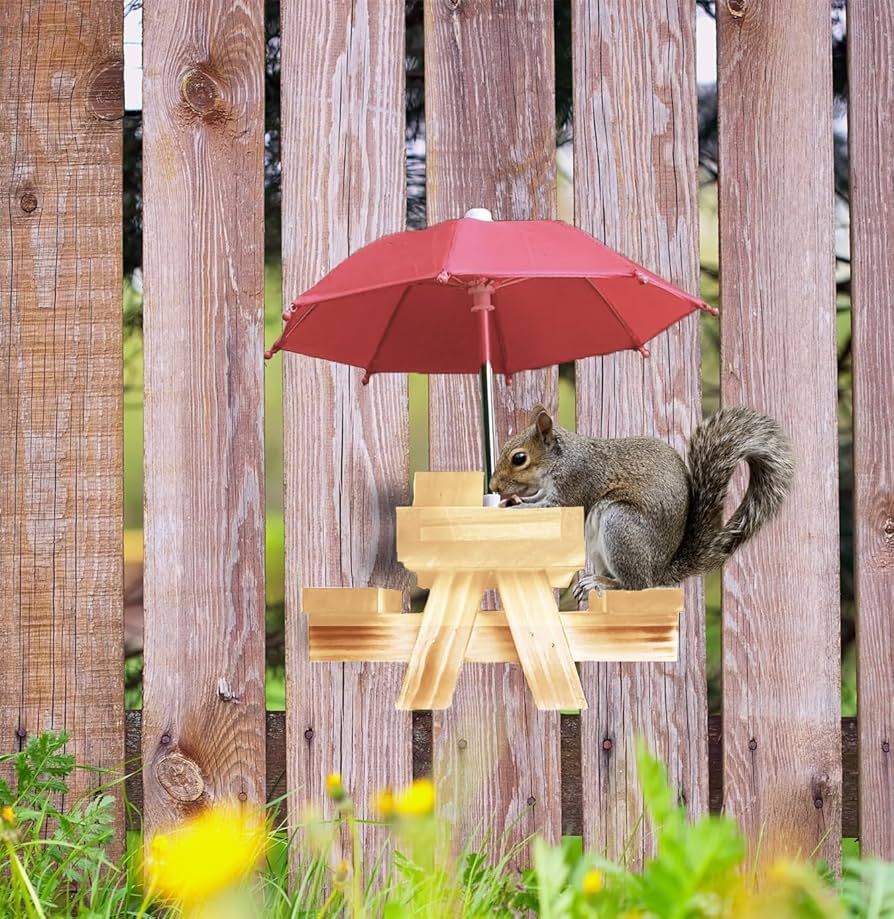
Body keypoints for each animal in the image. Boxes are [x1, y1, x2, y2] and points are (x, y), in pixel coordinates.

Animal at [490, 405, 794, 598]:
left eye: (519, 458)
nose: (494, 486)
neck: (561, 459)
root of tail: (659, 571)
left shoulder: (577, 483)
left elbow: (555, 509)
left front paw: (515, 507)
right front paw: (512, 500)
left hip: (620, 524)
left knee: (636, 585)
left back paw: (604, 582)